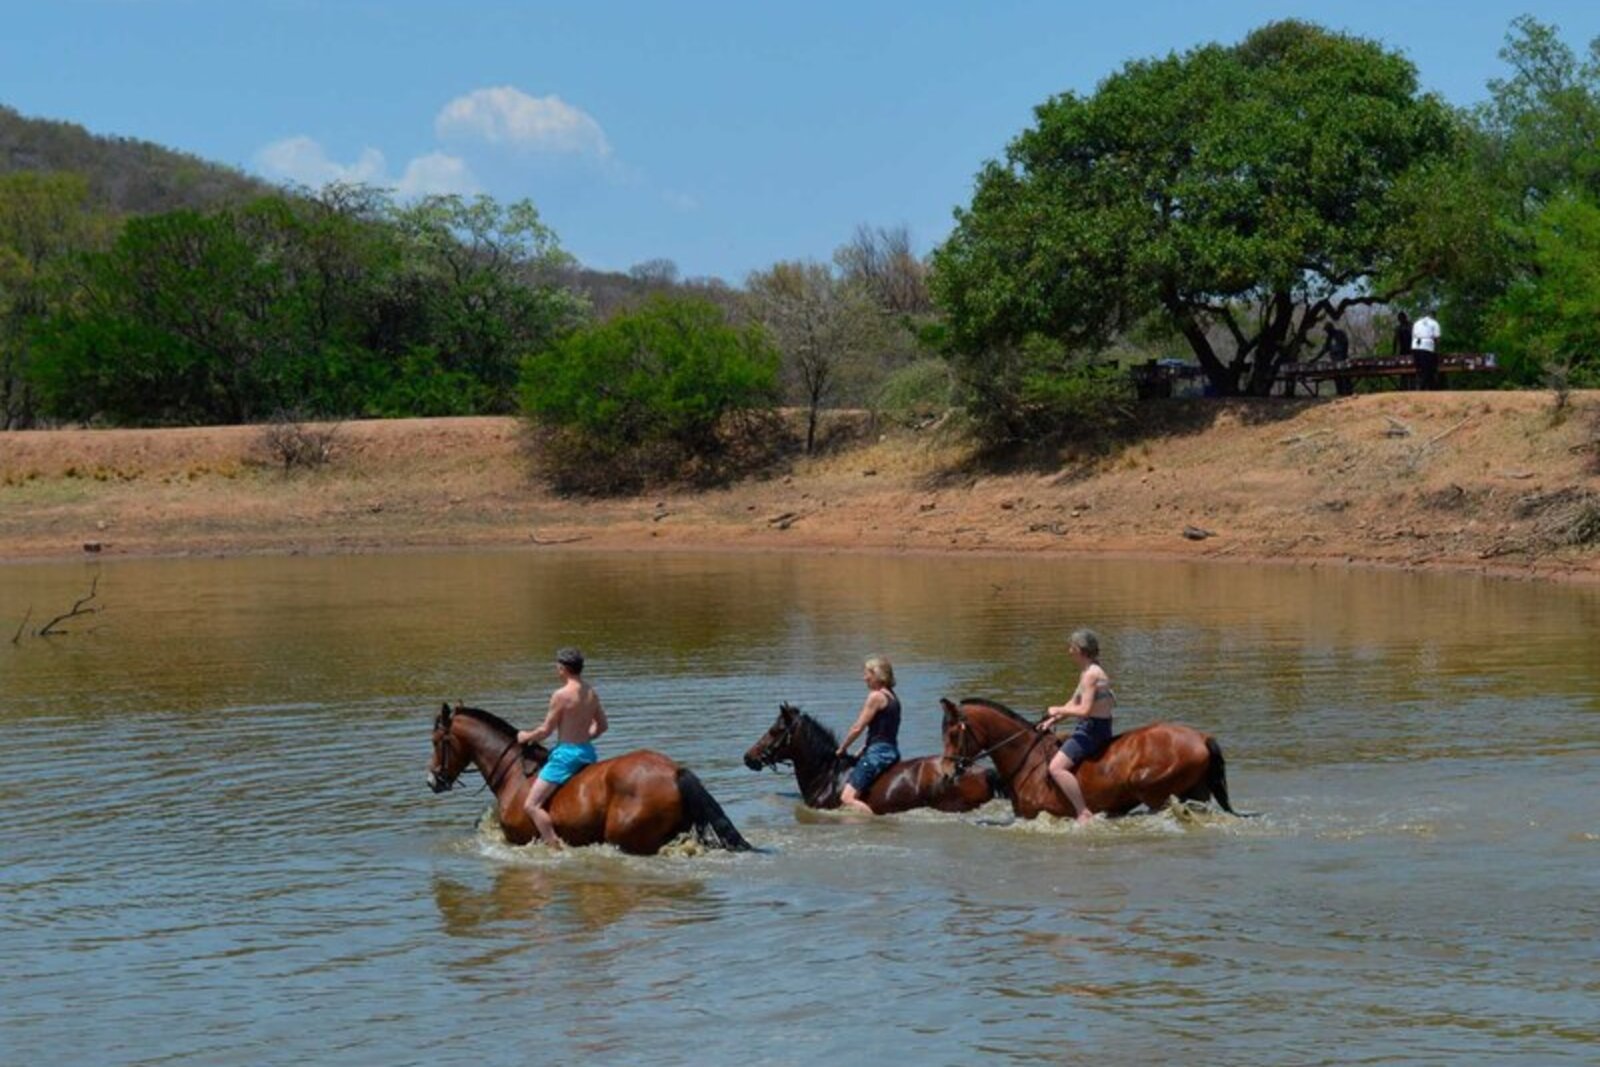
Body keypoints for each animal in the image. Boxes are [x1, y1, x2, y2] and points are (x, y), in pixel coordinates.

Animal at [939, 697, 1240, 820]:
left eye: (953, 733)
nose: (945, 773)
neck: (1026, 759)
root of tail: (1201, 737)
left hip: (1155, 792)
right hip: (1196, 791)